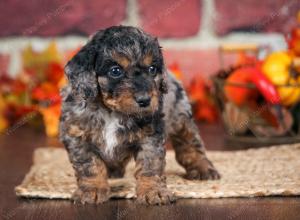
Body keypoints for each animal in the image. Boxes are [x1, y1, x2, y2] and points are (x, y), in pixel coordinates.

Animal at [59, 25, 220, 206]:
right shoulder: (77, 136)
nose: (145, 100)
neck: (111, 112)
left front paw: (153, 191)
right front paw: (91, 189)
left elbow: (150, 165)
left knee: (190, 143)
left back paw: (203, 168)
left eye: (152, 69)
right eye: (115, 71)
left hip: (181, 117)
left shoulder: (151, 135)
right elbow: (89, 165)